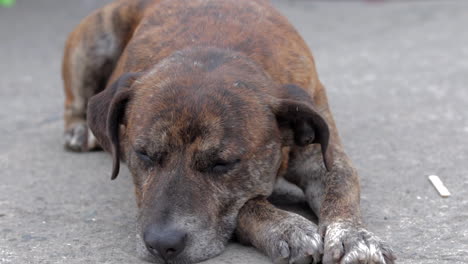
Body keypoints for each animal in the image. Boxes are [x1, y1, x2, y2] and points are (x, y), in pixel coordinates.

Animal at [62, 0, 394, 264]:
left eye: (223, 164)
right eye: (143, 155)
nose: (161, 244)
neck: (218, 48)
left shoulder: (322, 157)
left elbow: (341, 185)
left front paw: (353, 236)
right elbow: (247, 204)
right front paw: (288, 228)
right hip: (94, 42)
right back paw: (79, 128)